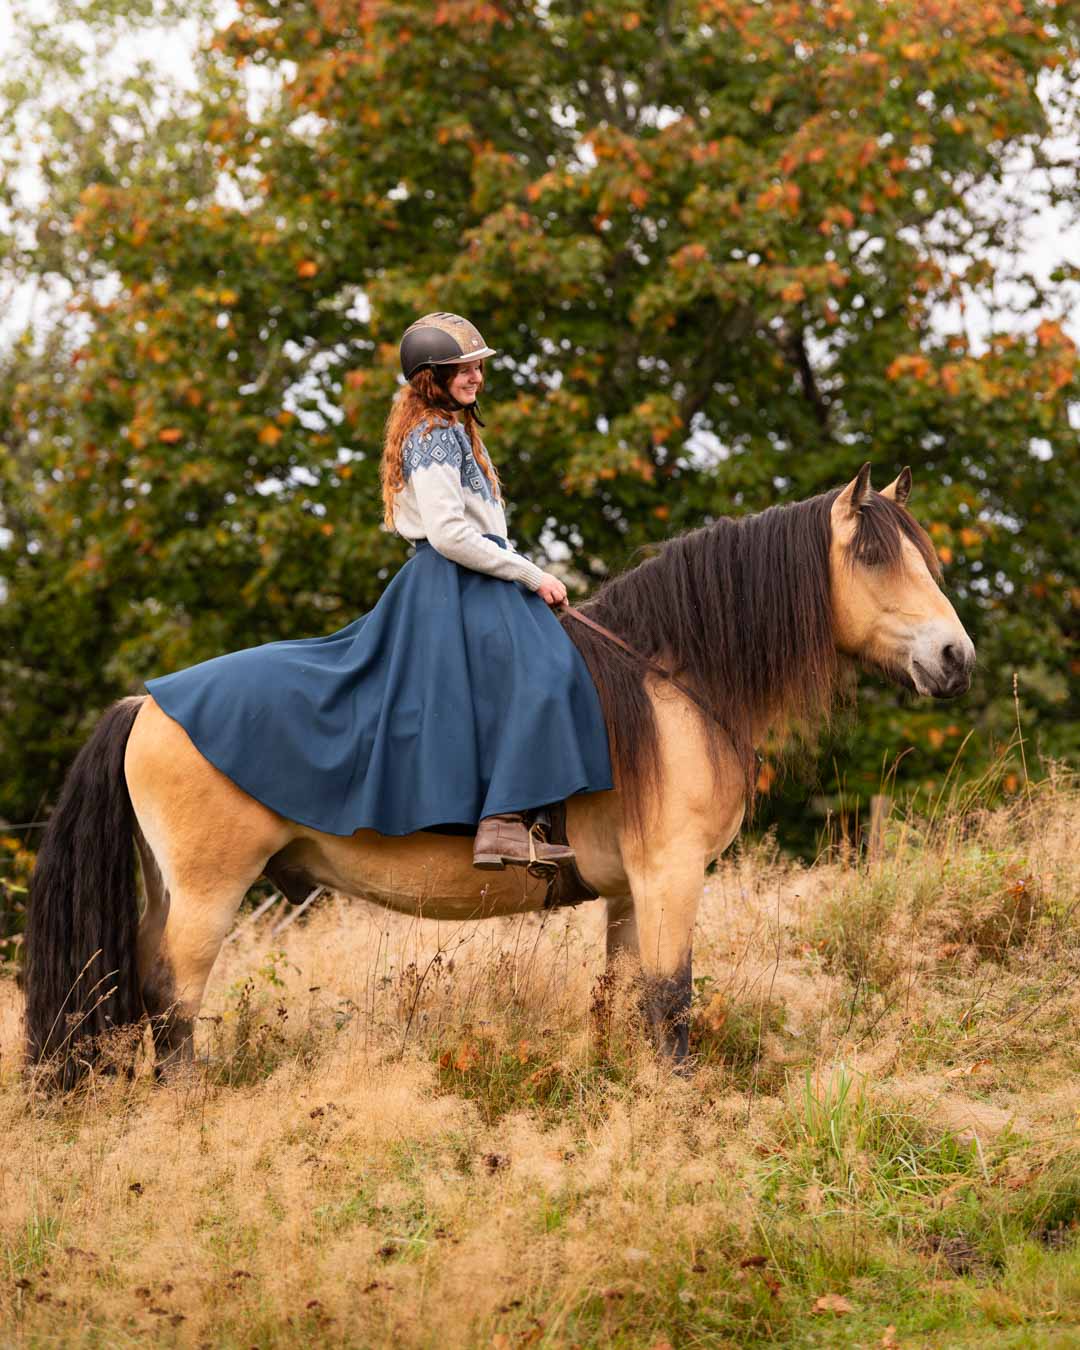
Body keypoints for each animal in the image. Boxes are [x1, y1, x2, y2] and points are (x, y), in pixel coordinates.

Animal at [25, 464, 972, 1085]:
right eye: (875, 558)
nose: (955, 658)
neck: (669, 683)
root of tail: (149, 703)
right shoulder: (671, 877)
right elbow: (672, 1005)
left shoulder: (632, 893)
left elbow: (626, 1000)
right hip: (209, 894)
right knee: (173, 1002)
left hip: (170, 892)